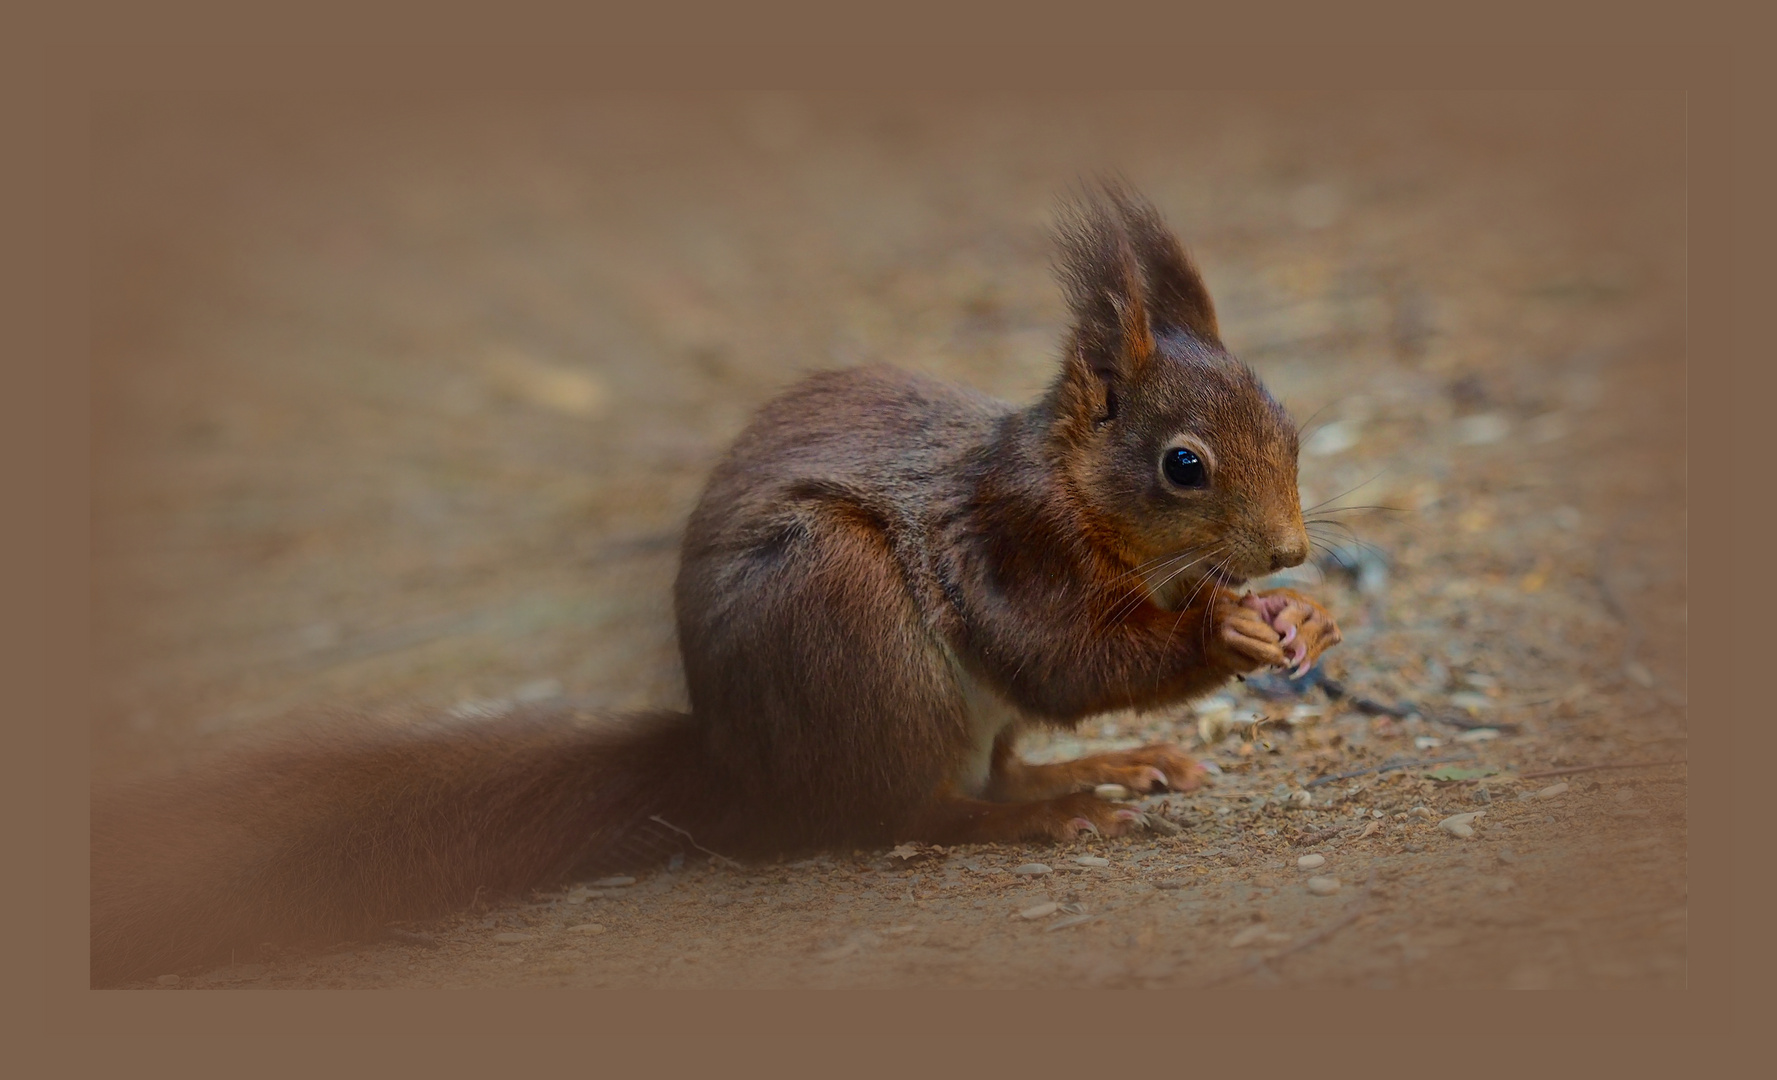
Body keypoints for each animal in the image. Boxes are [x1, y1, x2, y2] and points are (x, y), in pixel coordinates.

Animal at [90, 181, 1336, 980]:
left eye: (1291, 428)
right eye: (1183, 465)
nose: (1288, 552)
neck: (1082, 498)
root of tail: (741, 773)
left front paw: (1304, 619)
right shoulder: (1004, 539)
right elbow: (1057, 654)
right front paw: (1223, 634)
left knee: (989, 767)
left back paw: (1096, 770)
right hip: (847, 617)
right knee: (906, 812)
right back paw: (1052, 813)